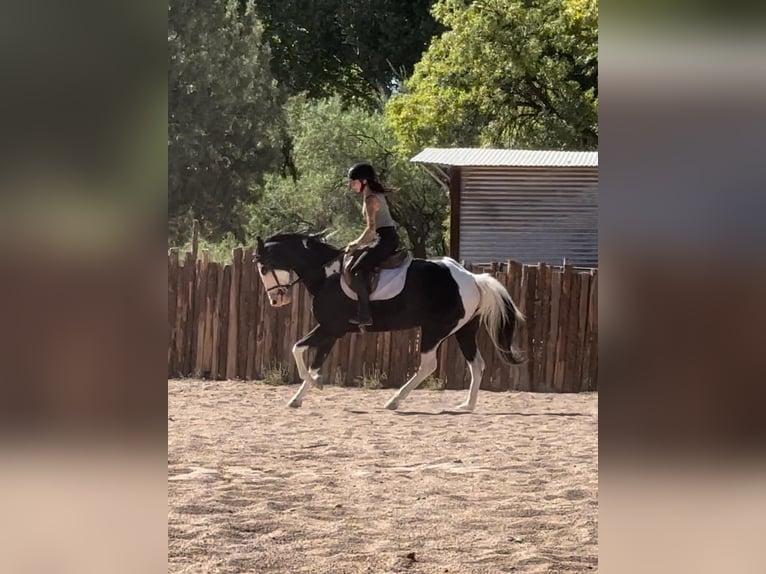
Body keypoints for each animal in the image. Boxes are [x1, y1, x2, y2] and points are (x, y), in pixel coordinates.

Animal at [253, 231, 525, 410]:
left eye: (264, 268)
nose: (277, 299)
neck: (326, 275)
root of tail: (472, 278)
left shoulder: (330, 328)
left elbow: (297, 350)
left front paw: (314, 385)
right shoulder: (332, 332)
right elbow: (312, 362)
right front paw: (299, 397)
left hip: (435, 330)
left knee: (429, 365)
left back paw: (394, 400)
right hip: (464, 330)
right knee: (476, 364)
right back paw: (467, 405)